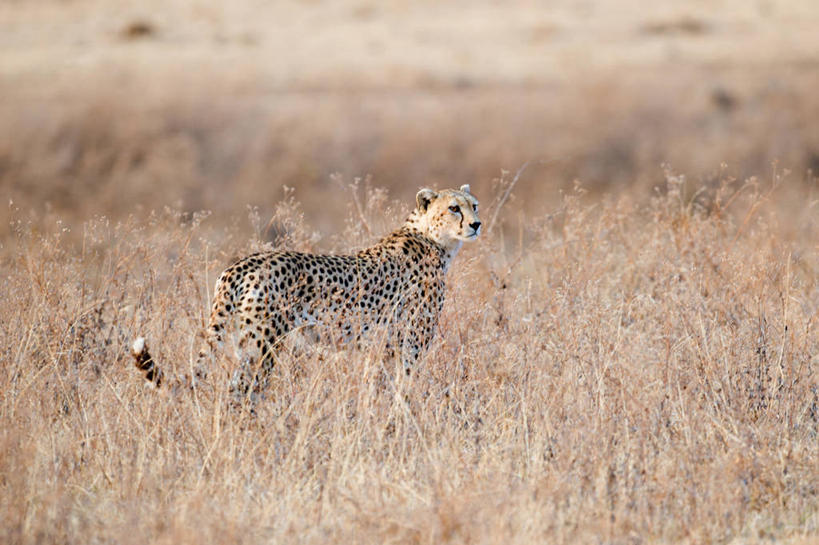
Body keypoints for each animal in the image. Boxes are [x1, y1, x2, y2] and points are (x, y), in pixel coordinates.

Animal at [132, 185, 484, 394]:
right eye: (454, 208)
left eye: (475, 205)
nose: (476, 224)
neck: (432, 238)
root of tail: (242, 263)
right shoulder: (411, 341)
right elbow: (405, 385)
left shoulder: (386, 346)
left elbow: (381, 386)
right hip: (263, 343)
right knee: (242, 389)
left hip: (247, 339)